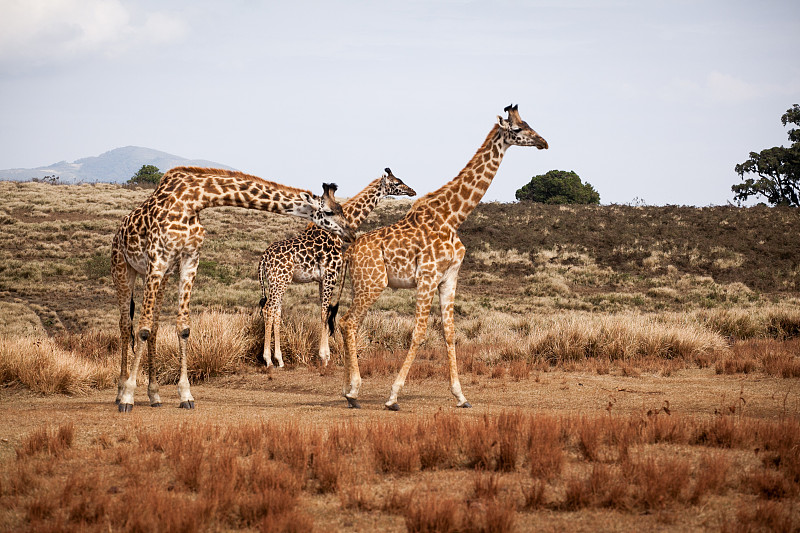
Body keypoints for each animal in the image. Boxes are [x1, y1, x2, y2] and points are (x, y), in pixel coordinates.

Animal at [111, 166, 354, 412]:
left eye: (341, 209)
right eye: (330, 212)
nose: (351, 233)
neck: (194, 200)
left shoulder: (189, 260)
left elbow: (182, 328)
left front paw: (186, 395)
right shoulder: (158, 259)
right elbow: (141, 329)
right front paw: (128, 396)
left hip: (161, 276)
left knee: (154, 326)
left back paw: (154, 395)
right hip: (124, 268)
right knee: (126, 325)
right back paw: (120, 392)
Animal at [258, 168, 418, 368]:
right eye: (396, 183)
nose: (412, 191)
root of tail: (263, 258)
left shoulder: (323, 278)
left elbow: (324, 311)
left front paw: (325, 354)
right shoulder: (331, 274)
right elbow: (324, 312)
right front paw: (324, 356)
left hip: (276, 282)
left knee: (276, 311)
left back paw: (279, 359)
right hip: (280, 280)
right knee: (269, 310)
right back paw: (268, 359)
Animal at [334, 106, 548, 410]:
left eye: (529, 123)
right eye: (517, 129)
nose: (543, 142)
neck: (453, 216)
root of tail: (349, 251)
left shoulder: (449, 277)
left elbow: (450, 333)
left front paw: (461, 396)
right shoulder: (428, 275)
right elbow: (418, 333)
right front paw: (393, 396)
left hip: (362, 284)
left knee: (348, 323)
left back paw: (348, 390)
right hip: (373, 283)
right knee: (349, 322)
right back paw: (353, 392)